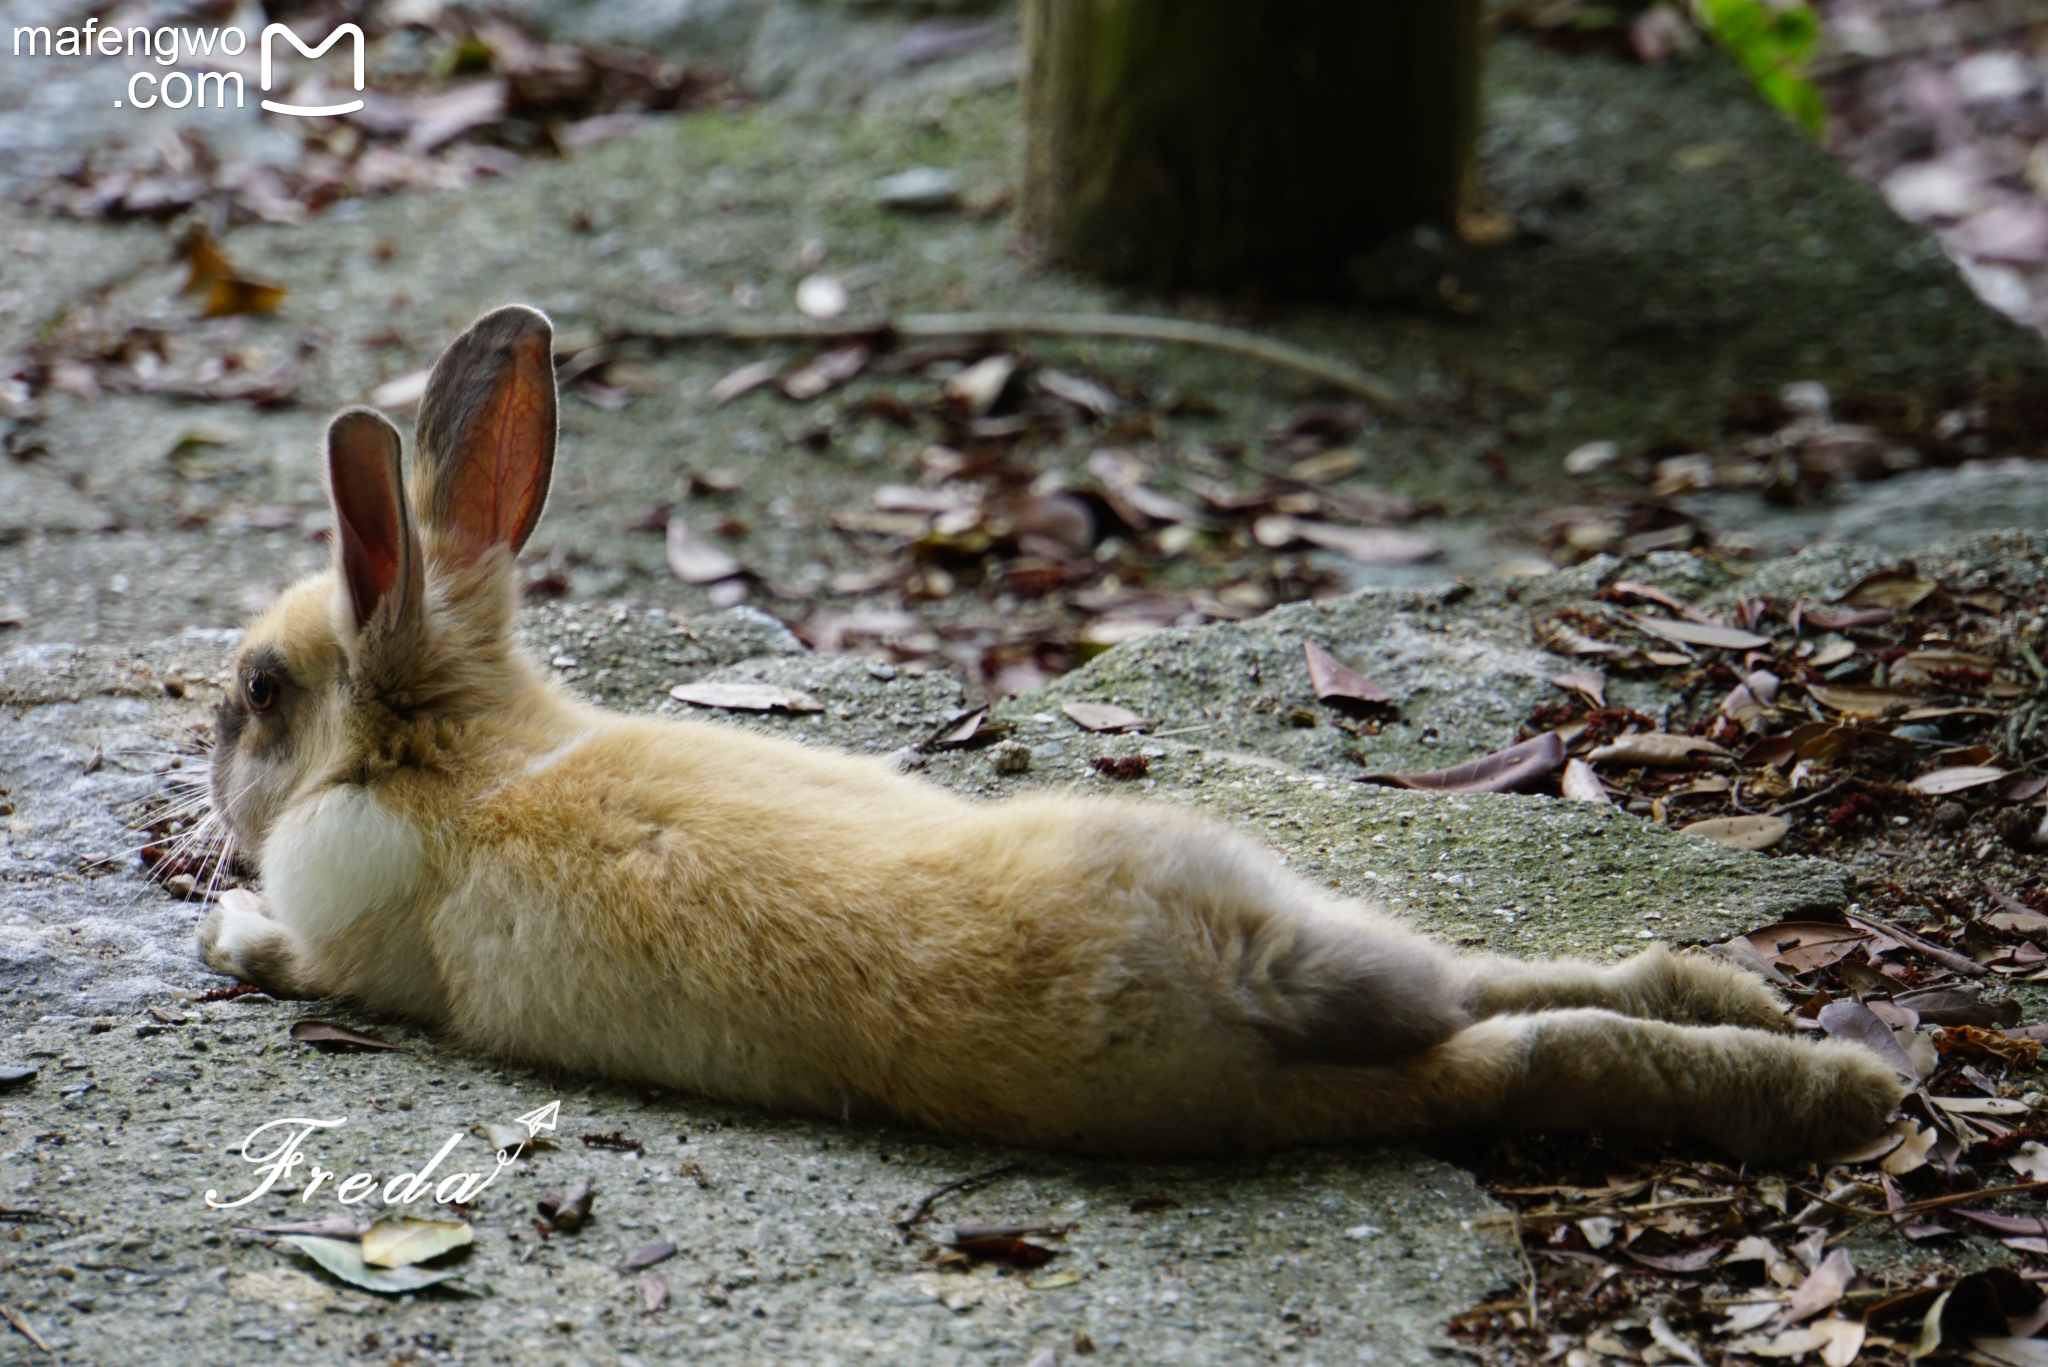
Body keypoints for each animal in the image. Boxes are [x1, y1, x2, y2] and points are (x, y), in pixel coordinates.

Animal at [199, 305, 1908, 1164]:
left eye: (262, 691)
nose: (211, 770)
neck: (460, 755)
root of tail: (1243, 978)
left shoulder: (352, 937)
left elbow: (299, 955)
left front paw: (228, 930)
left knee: (1527, 1039)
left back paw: (1843, 1082)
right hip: (1342, 993)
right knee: (1516, 1025)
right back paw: (1784, 1031)